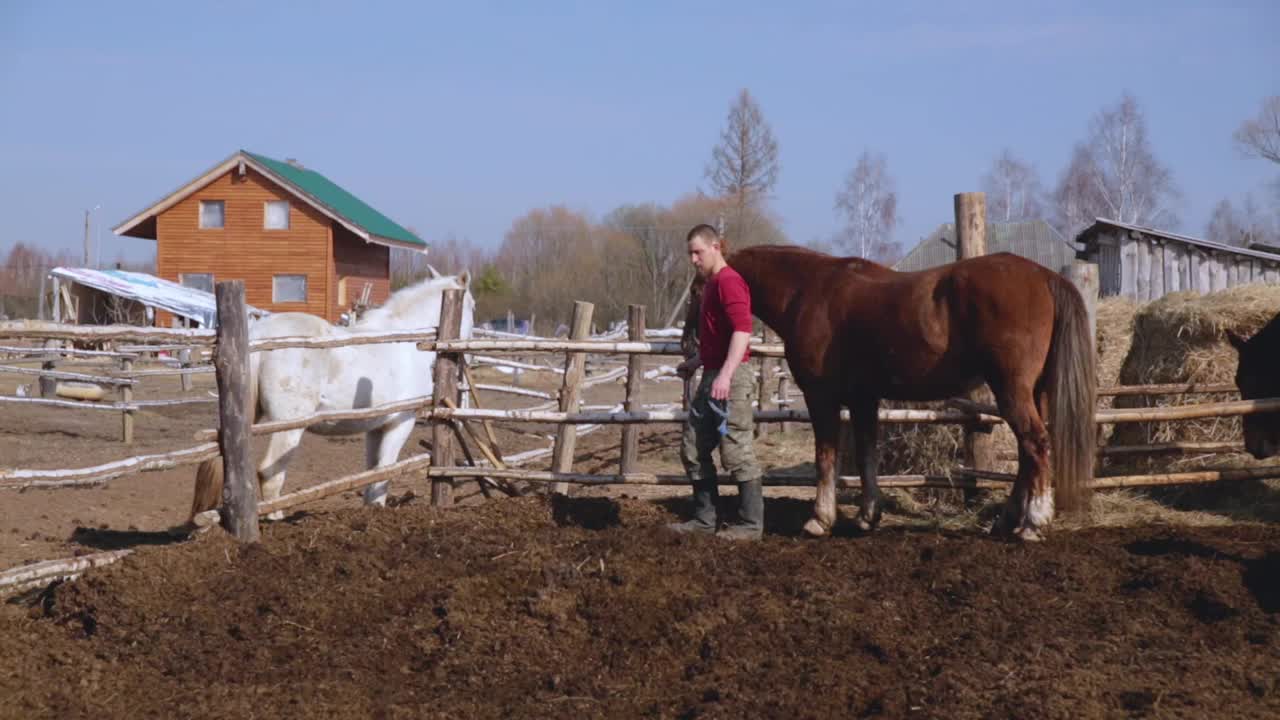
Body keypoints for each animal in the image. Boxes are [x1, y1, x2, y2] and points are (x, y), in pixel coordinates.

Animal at [186, 266, 473, 517]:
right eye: (472, 306)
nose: (466, 355)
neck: (405, 342)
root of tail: (258, 335)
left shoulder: (375, 427)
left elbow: (373, 473)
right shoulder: (400, 423)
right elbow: (385, 469)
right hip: (289, 427)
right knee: (269, 473)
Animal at [691, 244, 1100, 538]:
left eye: (700, 287)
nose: (691, 337)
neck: (807, 291)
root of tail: (1044, 276)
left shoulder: (821, 397)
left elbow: (826, 457)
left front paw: (820, 520)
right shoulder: (863, 399)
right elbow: (867, 454)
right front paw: (868, 515)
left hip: (1012, 390)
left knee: (1037, 444)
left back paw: (1033, 523)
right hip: (1035, 392)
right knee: (1030, 453)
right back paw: (1008, 521)